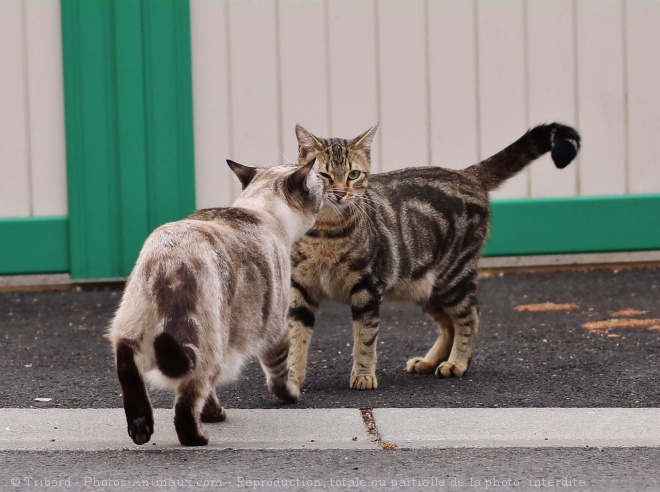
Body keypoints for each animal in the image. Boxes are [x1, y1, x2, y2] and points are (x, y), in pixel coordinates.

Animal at [108, 160, 324, 446]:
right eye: (320, 180)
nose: (328, 181)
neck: (259, 209)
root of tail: (170, 258)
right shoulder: (276, 329)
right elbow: (278, 374)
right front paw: (291, 395)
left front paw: (212, 413)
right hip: (212, 346)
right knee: (187, 402)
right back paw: (198, 437)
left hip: (133, 326)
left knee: (128, 364)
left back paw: (141, 429)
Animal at [286, 125, 580, 390]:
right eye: (323, 175)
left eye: (353, 174)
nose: (339, 193)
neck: (325, 233)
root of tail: (465, 174)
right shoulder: (300, 290)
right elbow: (296, 339)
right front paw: (292, 379)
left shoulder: (367, 290)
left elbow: (365, 340)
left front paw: (363, 375)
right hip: (425, 287)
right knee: (448, 325)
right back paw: (429, 362)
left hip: (454, 278)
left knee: (470, 317)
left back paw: (457, 363)